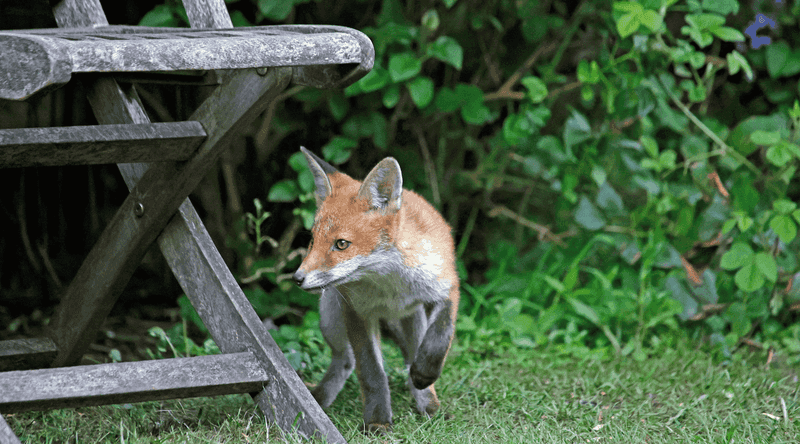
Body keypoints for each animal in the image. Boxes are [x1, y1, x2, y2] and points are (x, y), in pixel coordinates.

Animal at [292, 147, 459, 433]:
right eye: (313, 241)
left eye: (342, 244)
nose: (297, 278)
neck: (390, 285)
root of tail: (391, 311)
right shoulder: (356, 312)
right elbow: (371, 371)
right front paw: (378, 419)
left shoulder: (446, 285)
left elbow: (440, 336)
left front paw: (425, 375)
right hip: (331, 318)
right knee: (345, 360)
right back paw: (319, 400)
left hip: (412, 319)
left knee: (412, 354)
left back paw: (427, 402)